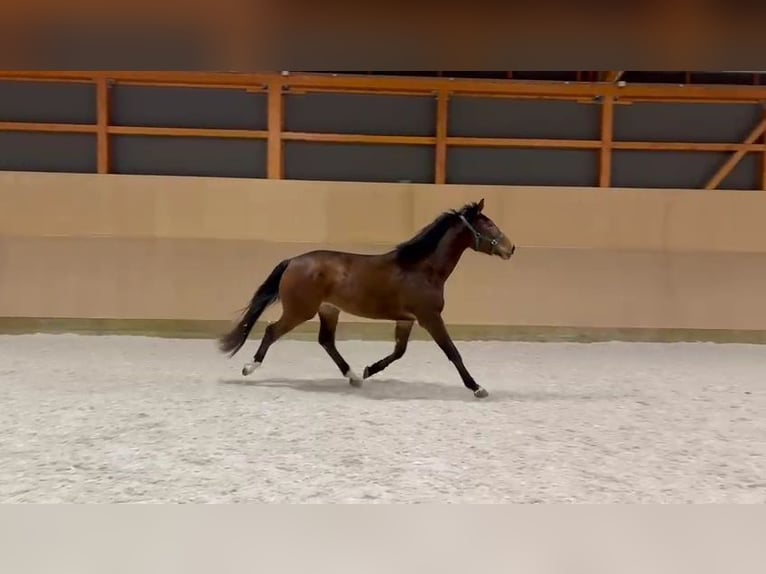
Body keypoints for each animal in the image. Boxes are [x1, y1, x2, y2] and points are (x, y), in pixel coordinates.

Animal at [218, 200, 516, 398]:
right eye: (489, 224)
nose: (510, 248)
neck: (422, 269)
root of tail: (293, 261)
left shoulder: (407, 320)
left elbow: (399, 352)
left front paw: (368, 370)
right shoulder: (430, 318)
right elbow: (452, 351)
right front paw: (477, 387)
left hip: (329, 310)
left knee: (326, 341)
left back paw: (353, 377)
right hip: (300, 311)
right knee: (272, 331)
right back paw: (249, 367)